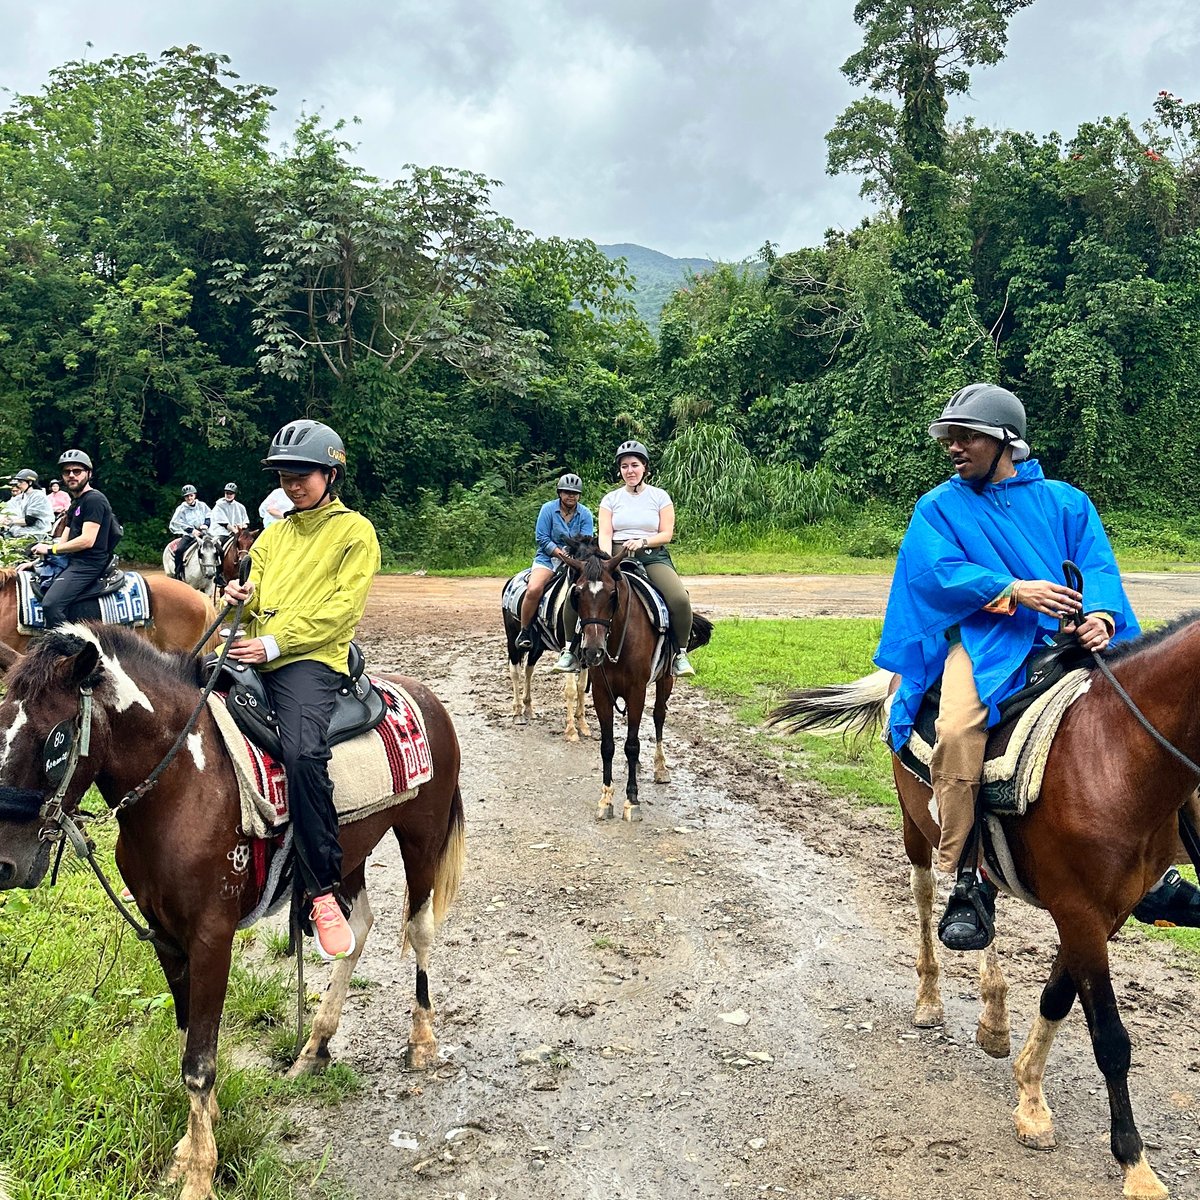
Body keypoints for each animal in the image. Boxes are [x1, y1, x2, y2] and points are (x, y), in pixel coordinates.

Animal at [0, 628, 465, 1200]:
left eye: (56, 740)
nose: (5, 863)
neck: (183, 782)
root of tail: (424, 696)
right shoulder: (164, 935)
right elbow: (187, 1038)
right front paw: (195, 1140)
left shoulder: (211, 937)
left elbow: (199, 1062)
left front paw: (200, 1173)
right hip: (345, 851)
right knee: (356, 930)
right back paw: (314, 1046)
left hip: (422, 836)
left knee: (419, 930)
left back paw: (421, 1041)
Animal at [768, 619, 1200, 1200]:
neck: (1117, 758)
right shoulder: (1081, 913)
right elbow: (1110, 1039)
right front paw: (1135, 1165)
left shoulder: (1100, 916)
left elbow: (1057, 997)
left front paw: (1031, 1098)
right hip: (917, 825)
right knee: (927, 894)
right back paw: (930, 998)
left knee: (980, 908)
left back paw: (993, 1014)